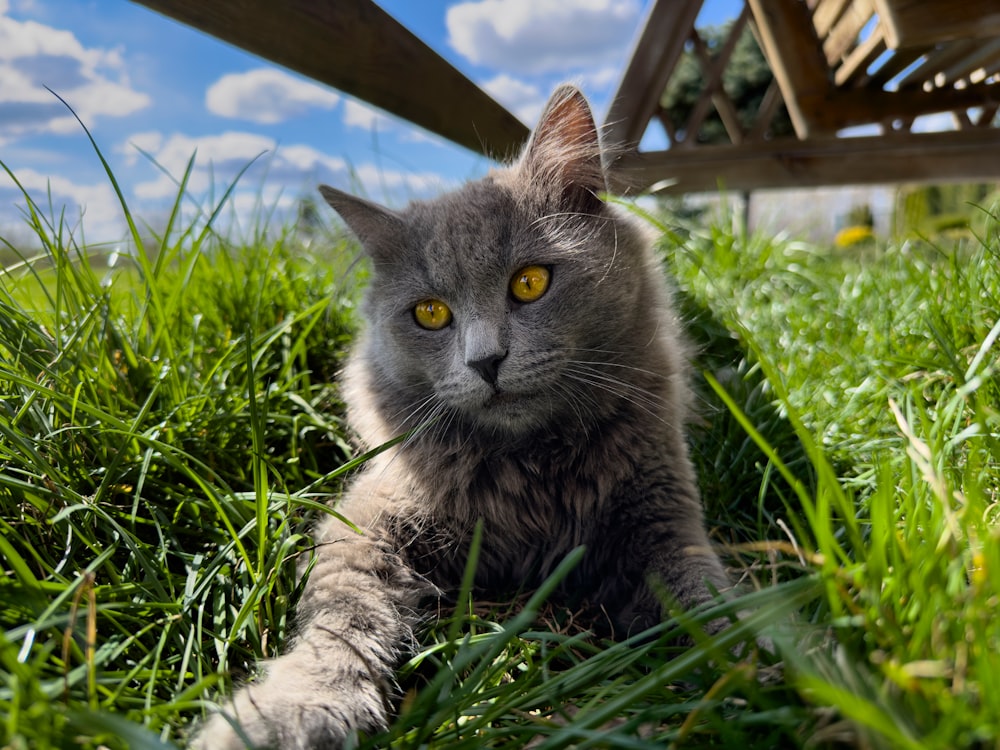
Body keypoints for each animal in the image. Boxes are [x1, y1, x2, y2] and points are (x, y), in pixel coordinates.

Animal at [191, 85, 732, 750]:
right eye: (430, 313)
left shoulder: (664, 520)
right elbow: (343, 616)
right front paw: (290, 710)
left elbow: (706, 602)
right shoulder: (369, 518)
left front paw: (778, 667)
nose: (486, 360)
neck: (531, 472)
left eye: (530, 283)